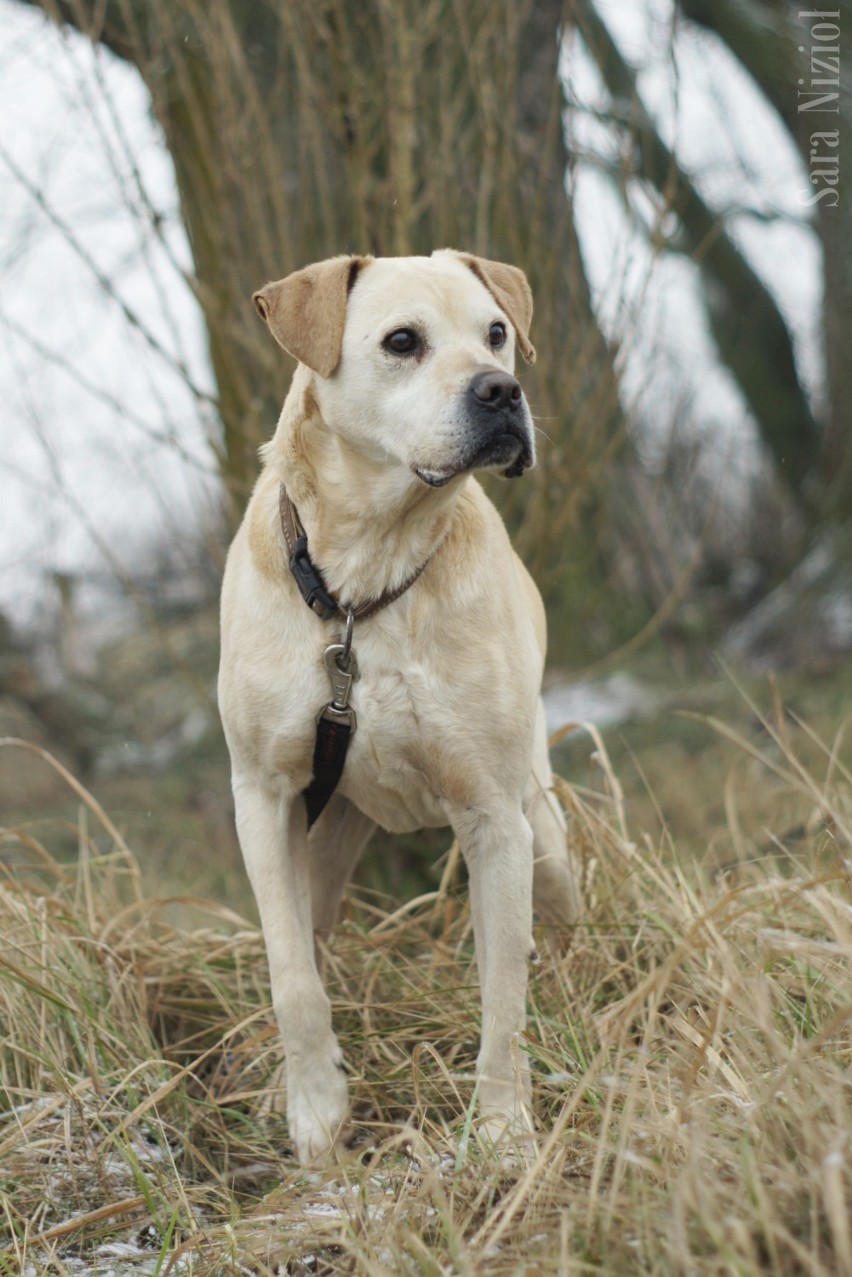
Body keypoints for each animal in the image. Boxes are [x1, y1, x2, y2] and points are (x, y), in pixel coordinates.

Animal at [217, 249, 582, 1169]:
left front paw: (503, 1132)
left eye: (497, 332)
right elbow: (292, 976)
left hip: (540, 817)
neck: (363, 579)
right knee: (311, 936)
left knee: (560, 901)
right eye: (402, 342)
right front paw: (316, 1111)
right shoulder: (264, 796)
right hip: (325, 837)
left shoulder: (493, 814)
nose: (501, 390)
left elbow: (502, 992)